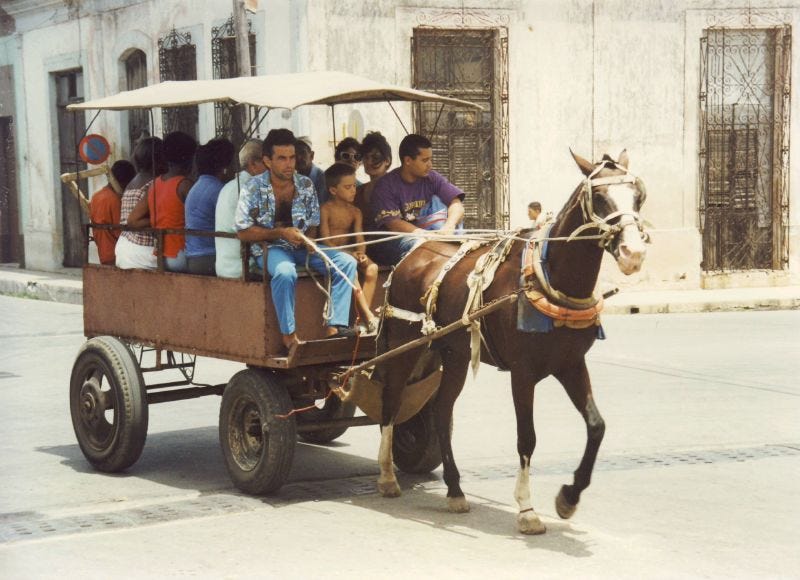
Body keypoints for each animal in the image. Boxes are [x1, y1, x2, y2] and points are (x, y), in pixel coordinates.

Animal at [372, 151, 648, 536]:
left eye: (638, 196)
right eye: (599, 197)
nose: (632, 252)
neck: (550, 278)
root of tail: (412, 255)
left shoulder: (570, 364)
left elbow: (597, 426)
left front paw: (568, 497)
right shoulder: (522, 372)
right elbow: (526, 437)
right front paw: (527, 509)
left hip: (455, 354)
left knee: (441, 412)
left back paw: (455, 490)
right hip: (404, 345)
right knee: (392, 401)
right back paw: (386, 477)